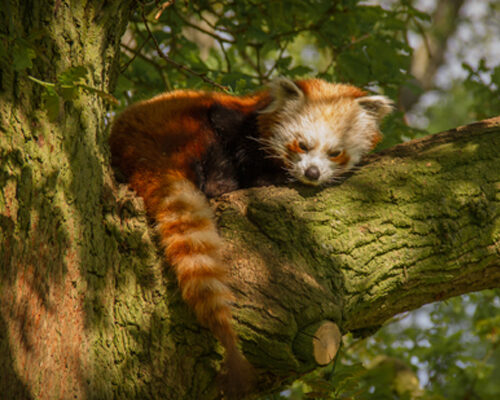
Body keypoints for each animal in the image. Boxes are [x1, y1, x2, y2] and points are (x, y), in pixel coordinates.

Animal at [109, 76, 394, 396]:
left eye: (335, 153)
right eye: (302, 145)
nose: (312, 172)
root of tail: (138, 150)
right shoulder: (234, 126)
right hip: (183, 128)